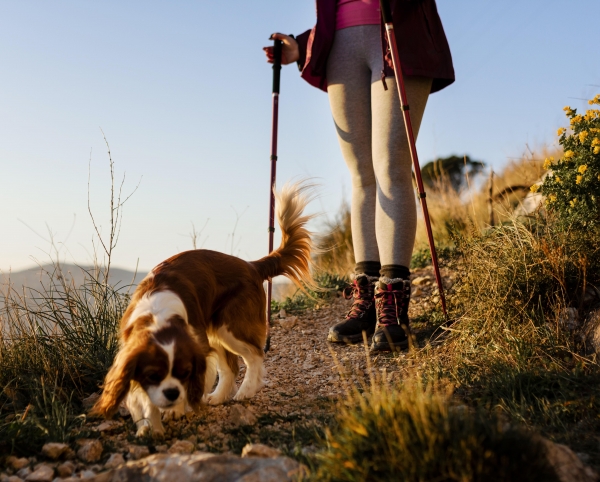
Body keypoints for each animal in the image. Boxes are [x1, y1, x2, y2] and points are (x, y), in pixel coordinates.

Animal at [91, 182, 314, 436]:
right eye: (153, 375)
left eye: (184, 373)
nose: (172, 393)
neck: (158, 316)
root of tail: (251, 266)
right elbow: (146, 399)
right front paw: (152, 426)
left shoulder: (198, 348)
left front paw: (175, 410)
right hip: (215, 329)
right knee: (230, 367)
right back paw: (218, 397)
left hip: (229, 326)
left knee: (254, 355)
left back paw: (245, 391)